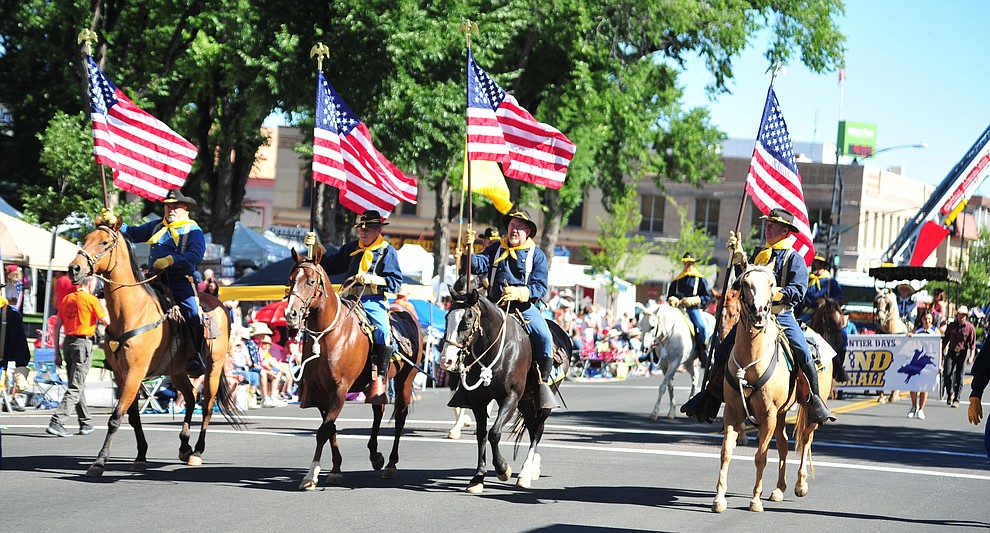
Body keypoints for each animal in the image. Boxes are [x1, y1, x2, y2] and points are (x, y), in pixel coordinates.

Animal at [68, 220, 242, 474]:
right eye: (86, 238)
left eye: (104, 242)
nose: (74, 268)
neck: (131, 313)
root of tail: (219, 304)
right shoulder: (122, 374)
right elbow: (132, 417)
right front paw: (141, 455)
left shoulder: (134, 373)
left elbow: (115, 417)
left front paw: (99, 461)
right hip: (177, 371)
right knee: (191, 398)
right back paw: (184, 446)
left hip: (213, 368)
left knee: (207, 406)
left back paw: (197, 452)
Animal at [282, 247, 422, 488]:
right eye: (291, 280)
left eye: (311, 281)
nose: (291, 314)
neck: (327, 337)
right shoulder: (321, 393)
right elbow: (330, 429)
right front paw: (336, 468)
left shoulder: (339, 390)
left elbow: (323, 431)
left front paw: (311, 475)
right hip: (376, 383)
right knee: (378, 410)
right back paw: (375, 455)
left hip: (405, 380)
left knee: (400, 419)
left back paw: (390, 464)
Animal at [442, 288, 572, 492]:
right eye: (447, 319)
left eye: (466, 323)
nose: (445, 360)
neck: (496, 350)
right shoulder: (478, 400)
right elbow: (482, 434)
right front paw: (478, 478)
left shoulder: (510, 397)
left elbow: (495, 433)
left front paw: (503, 469)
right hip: (526, 401)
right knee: (532, 426)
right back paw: (533, 467)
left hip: (542, 401)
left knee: (537, 430)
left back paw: (526, 472)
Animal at [712, 266, 836, 512]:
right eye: (745, 283)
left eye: (771, 284)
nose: (759, 313)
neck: (751, 361)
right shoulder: (733, 411)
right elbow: (726, 452)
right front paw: (719, 499)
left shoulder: (767, 414)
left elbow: (761, 456)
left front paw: (755, 500)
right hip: (780, 414)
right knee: (783, 444)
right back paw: (779, 489)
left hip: (808, 410)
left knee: (805, 440)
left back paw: (800, 485)